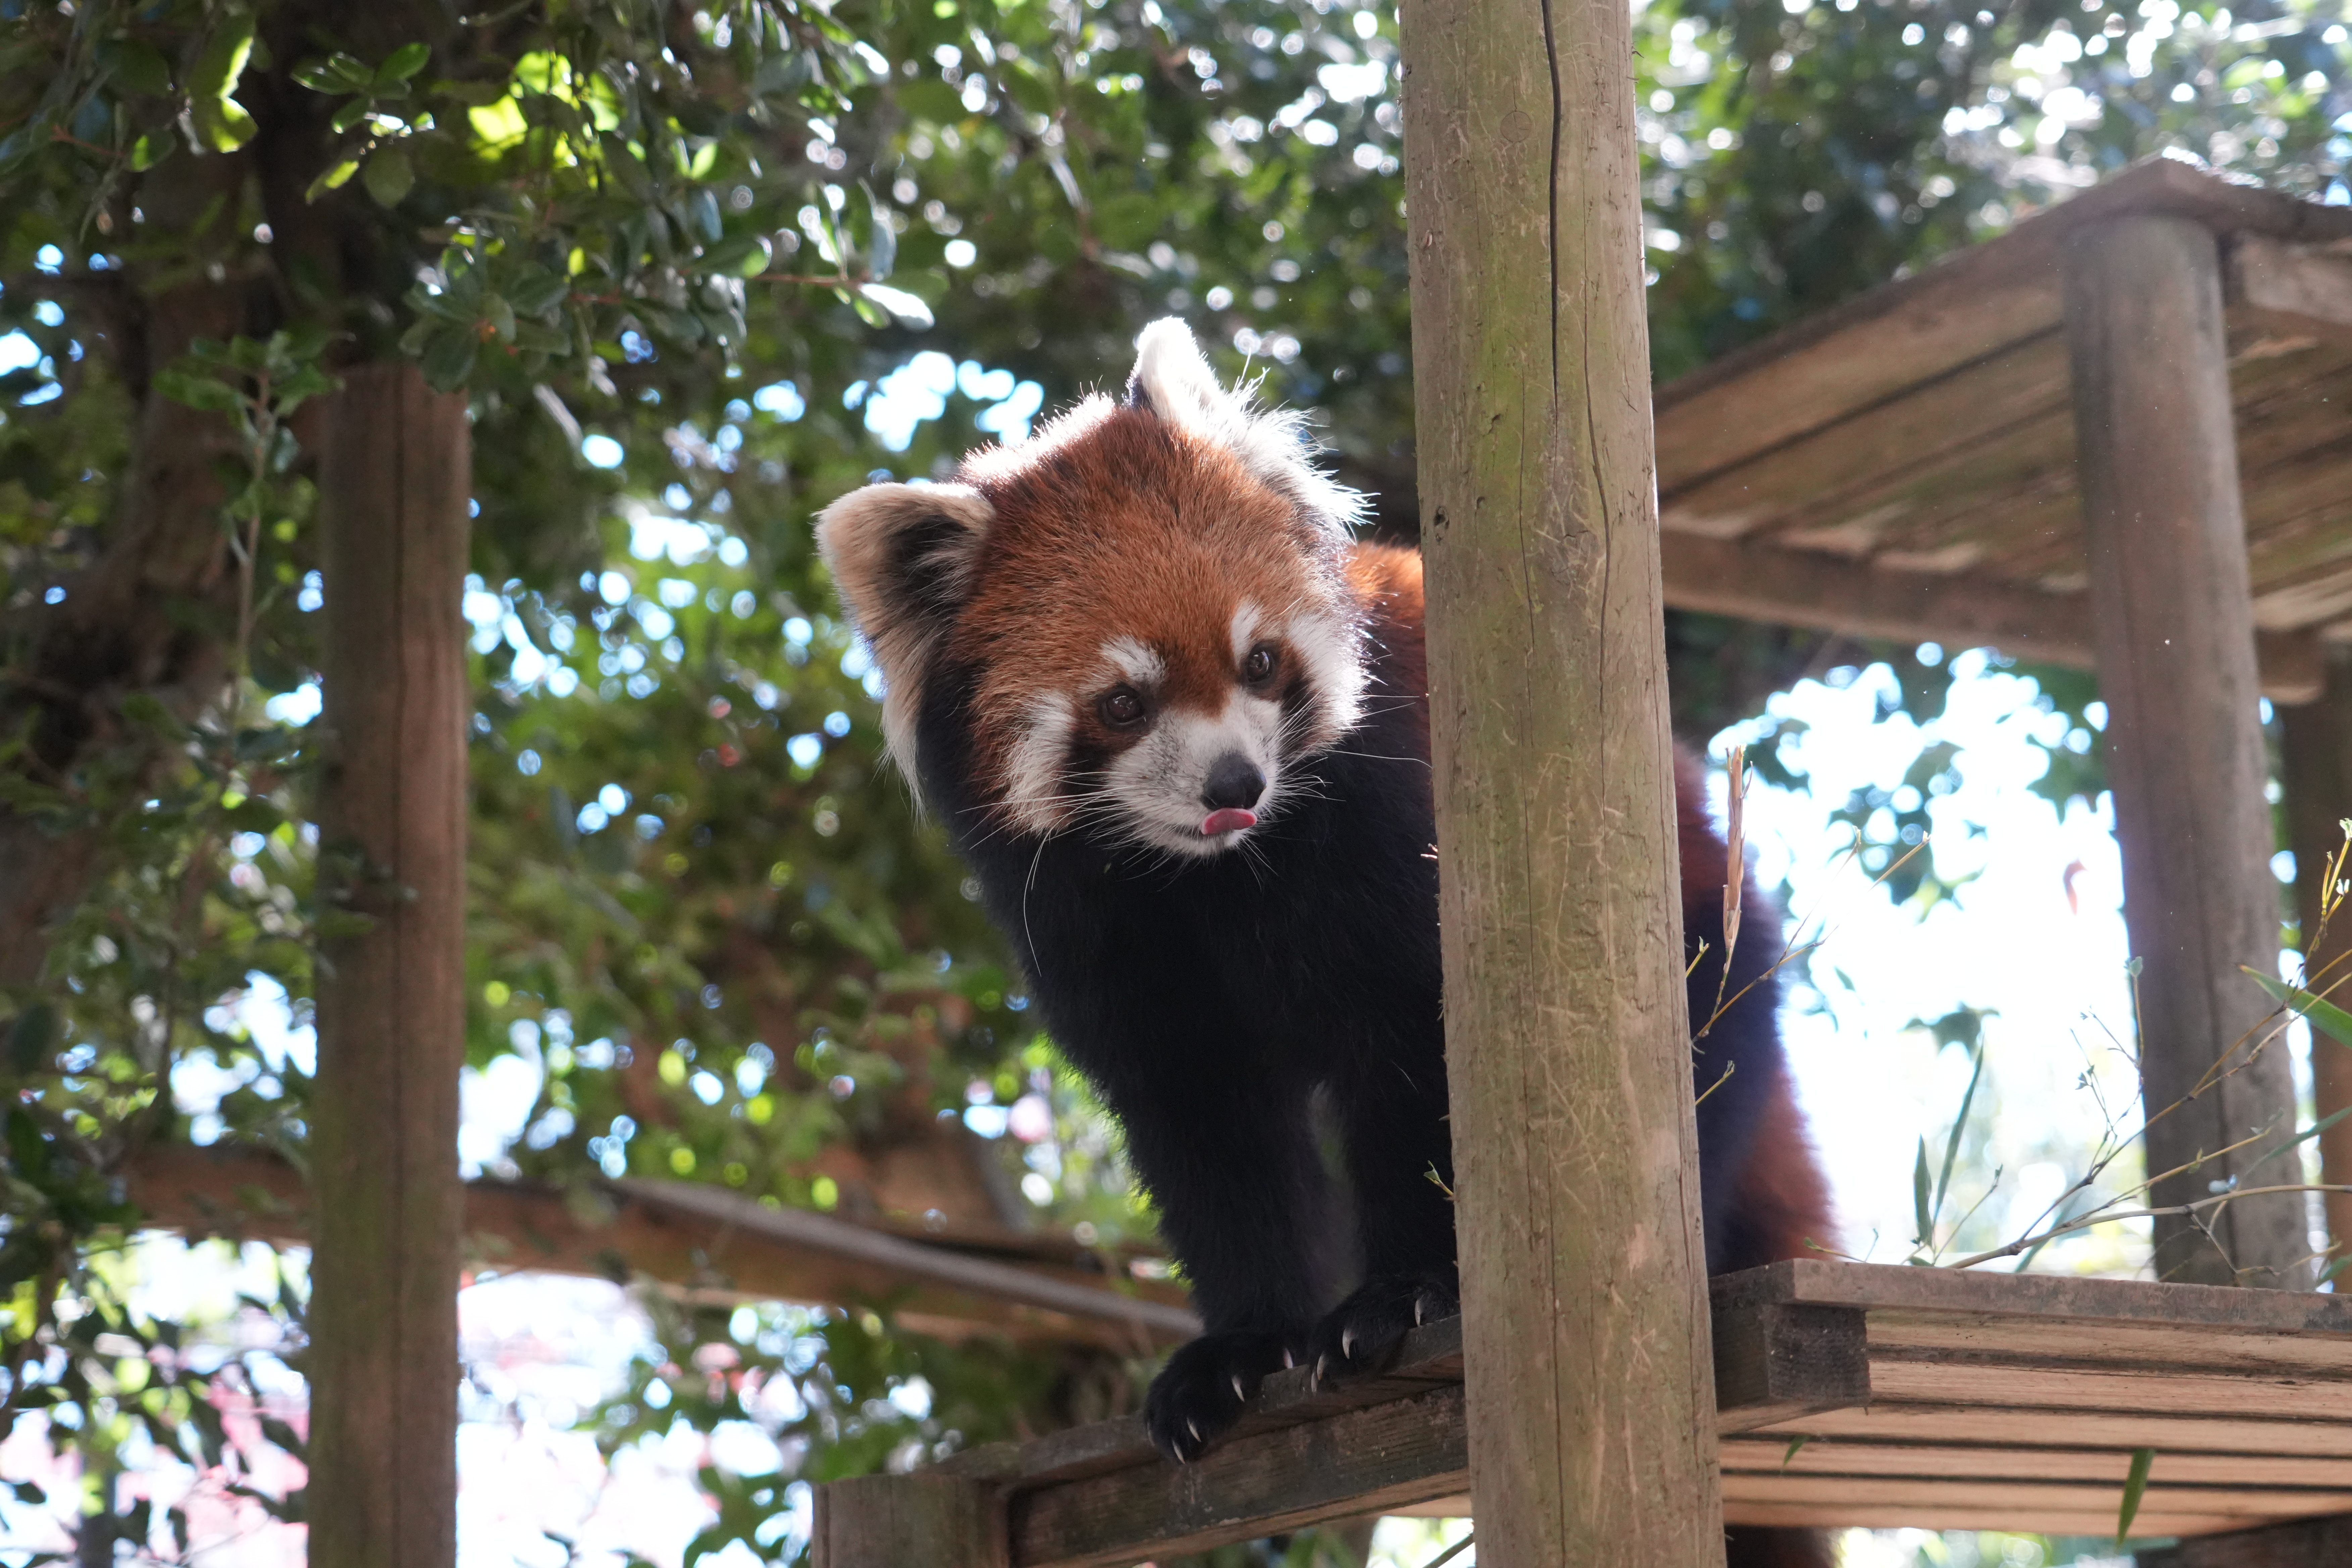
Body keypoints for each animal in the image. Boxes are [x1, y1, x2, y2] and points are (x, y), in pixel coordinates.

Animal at [823, 322, 1834, 1568]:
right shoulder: (1088, 927)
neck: (1217, 877)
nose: (1233, 784)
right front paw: (1241, 1346)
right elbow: (1206, 1130)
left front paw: (1402, 1293)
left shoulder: (1386, 832)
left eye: (1257, 662)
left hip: (1708, 959)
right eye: (1121, 703)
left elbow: (1414, 1062)